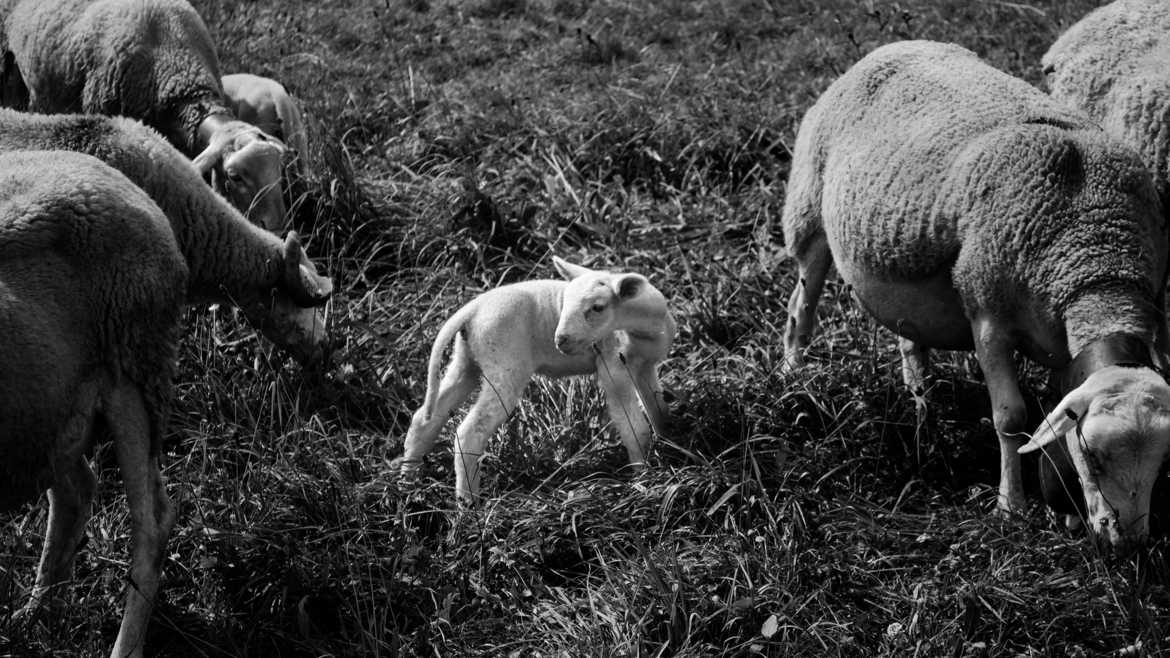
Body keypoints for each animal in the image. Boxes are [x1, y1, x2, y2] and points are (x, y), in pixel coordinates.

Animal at [0, 148, 187, 655]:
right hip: (53, 410)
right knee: (75, 493)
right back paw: (36, 613)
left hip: (136, 374)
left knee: (152, 523)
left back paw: (123, 645)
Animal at [397, 257, 678, 501]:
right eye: (563, 304)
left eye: (597, 307)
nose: (560, 340)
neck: (645, 328)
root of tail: (471, 310)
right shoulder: (613, 369)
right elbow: (635, 428)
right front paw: (643, 478)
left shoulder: (645, 367)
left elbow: (659, 411)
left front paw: (670, 443)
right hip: (505, 366)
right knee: (469, 432)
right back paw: (469, 504)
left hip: (467, 362)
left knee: (425, 419)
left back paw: (407, 483)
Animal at [781, 39, 1170, 552]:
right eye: (1094, 456)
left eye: (1161, 463)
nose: (1128, 544)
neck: (1095, 264)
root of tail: (892, 47)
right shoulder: (988, 319)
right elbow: (1011, 417)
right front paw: (1011, 507)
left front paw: (1066, 514)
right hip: (808, 214)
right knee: (800, 311)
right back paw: (793, 379)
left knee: (910, 342)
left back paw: (922, 408)